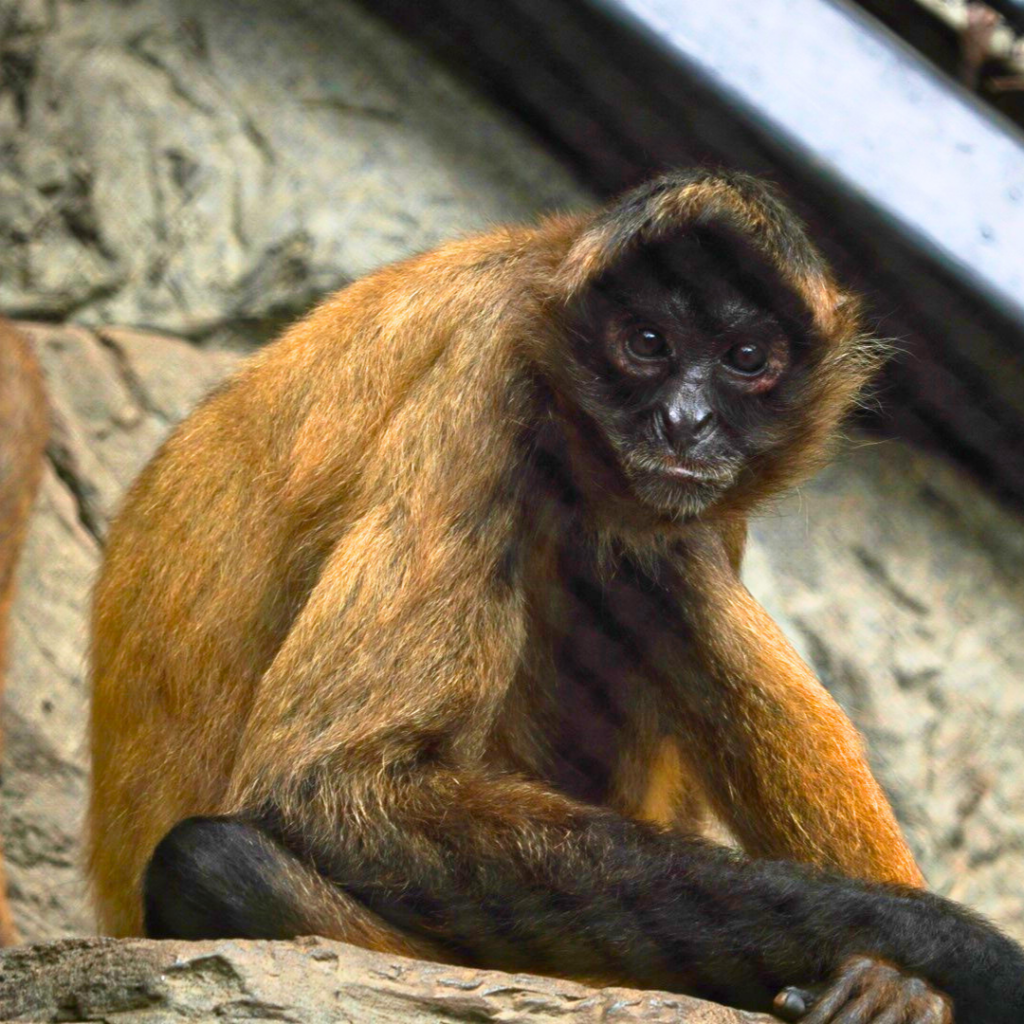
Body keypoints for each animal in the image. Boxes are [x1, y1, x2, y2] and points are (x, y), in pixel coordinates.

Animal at [88, 172, 1024, 1023]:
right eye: (646, 341)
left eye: (746, 360)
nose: (685, 422)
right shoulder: (491, 373)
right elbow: (328, 786)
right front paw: (951, 948)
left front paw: (905, 976)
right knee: (211, 864)